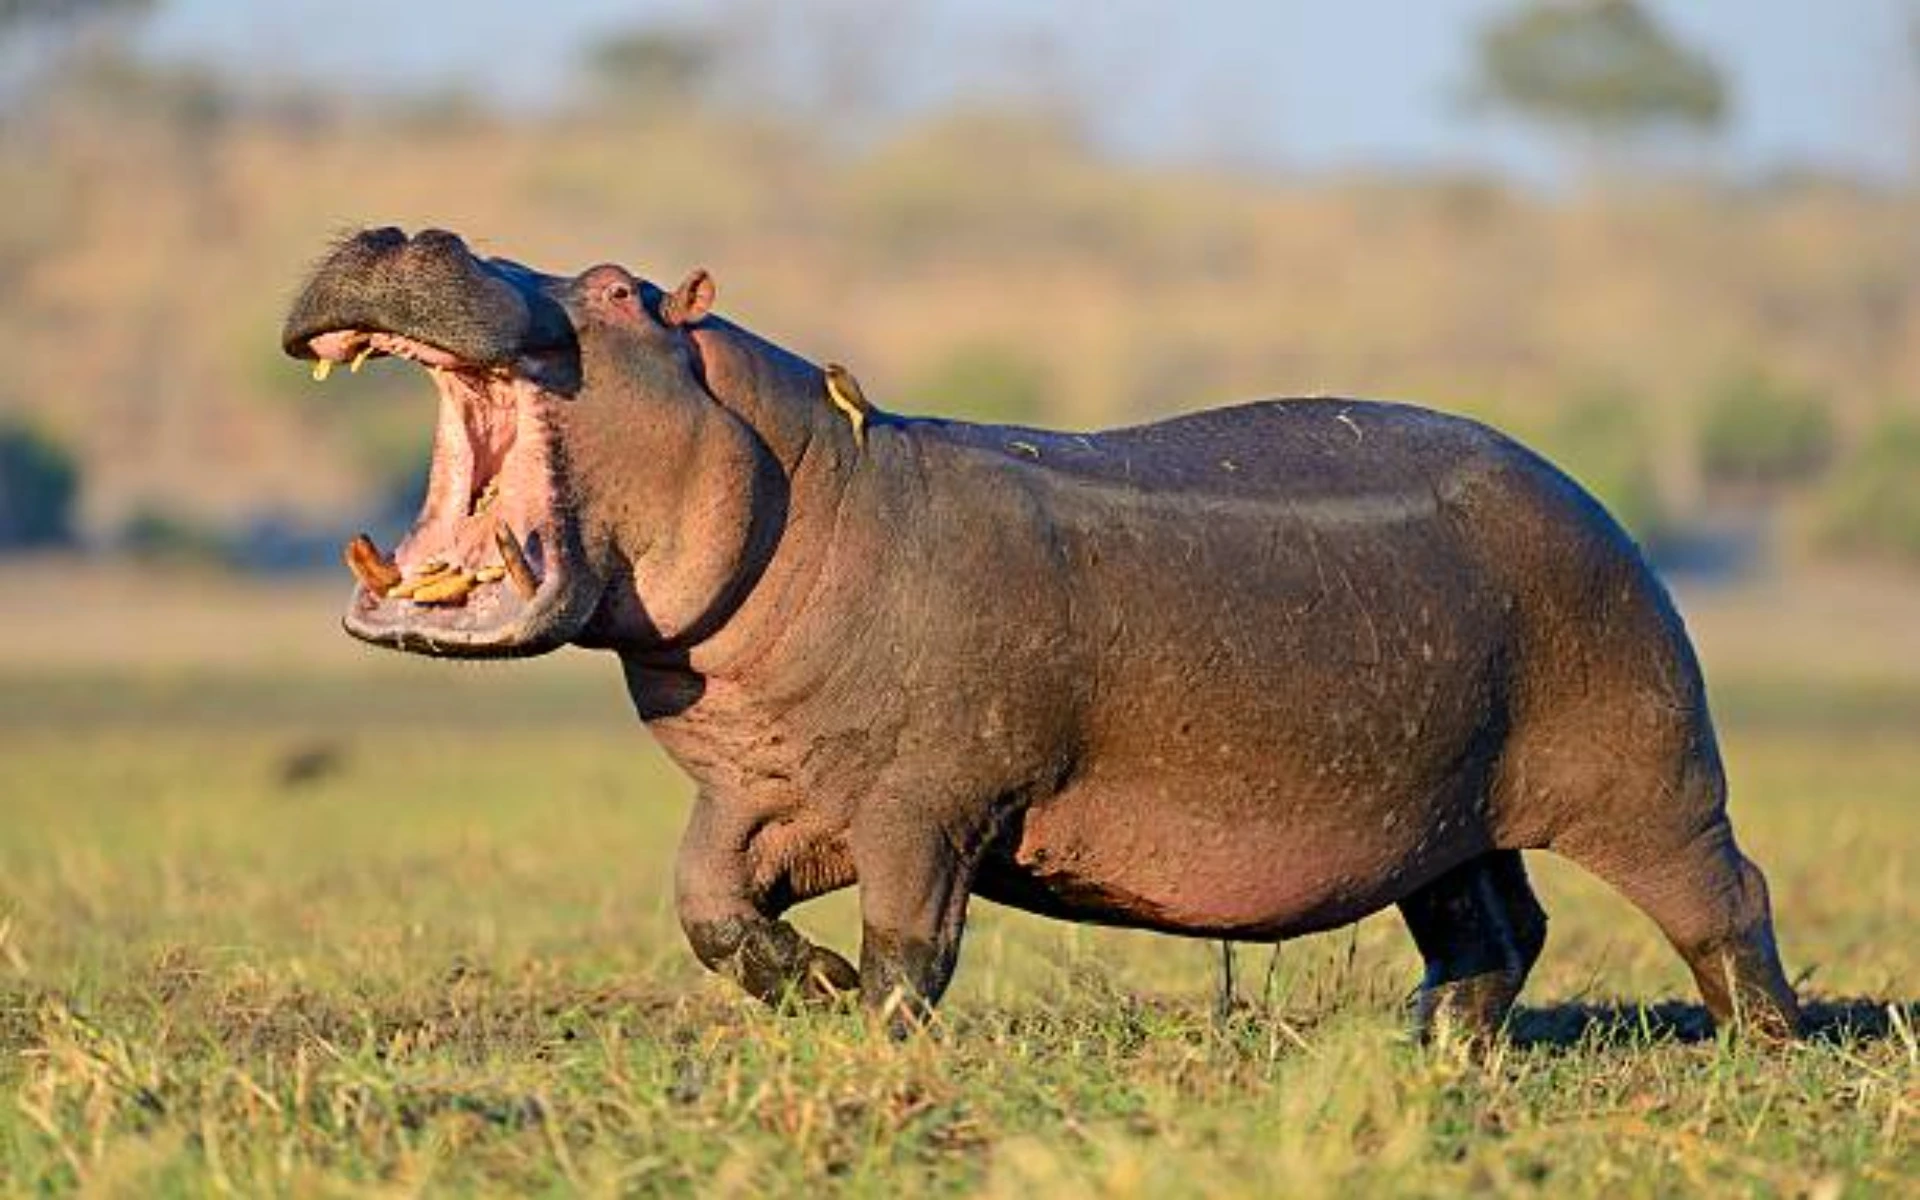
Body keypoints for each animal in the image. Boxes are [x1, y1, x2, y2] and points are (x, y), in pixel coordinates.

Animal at [282, 227, 1801, 1042]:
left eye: (616, 290)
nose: (402, 234)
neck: (805, 477)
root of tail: (1587, 492)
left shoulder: (925, 802)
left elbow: (913, 938)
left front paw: (877, 1031)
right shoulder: (759, 790)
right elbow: (707, 906)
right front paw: (813, 989)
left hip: (1652, 769)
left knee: (1726, 898)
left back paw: (1762, 1047)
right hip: (1443, 806)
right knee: (1494, 922)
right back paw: (1425, 1047)